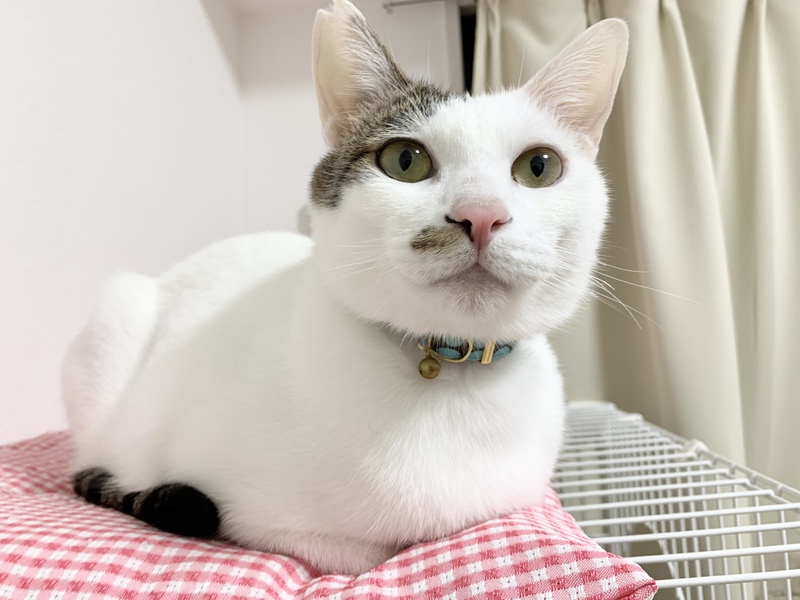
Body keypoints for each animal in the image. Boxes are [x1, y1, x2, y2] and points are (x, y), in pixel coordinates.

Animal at [62, 0, 627, 576]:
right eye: (405, 160)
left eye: (539, 166)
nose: (481, 214)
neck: (452, 379)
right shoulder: (265, 525)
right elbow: (354, 553)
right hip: (115, 315)